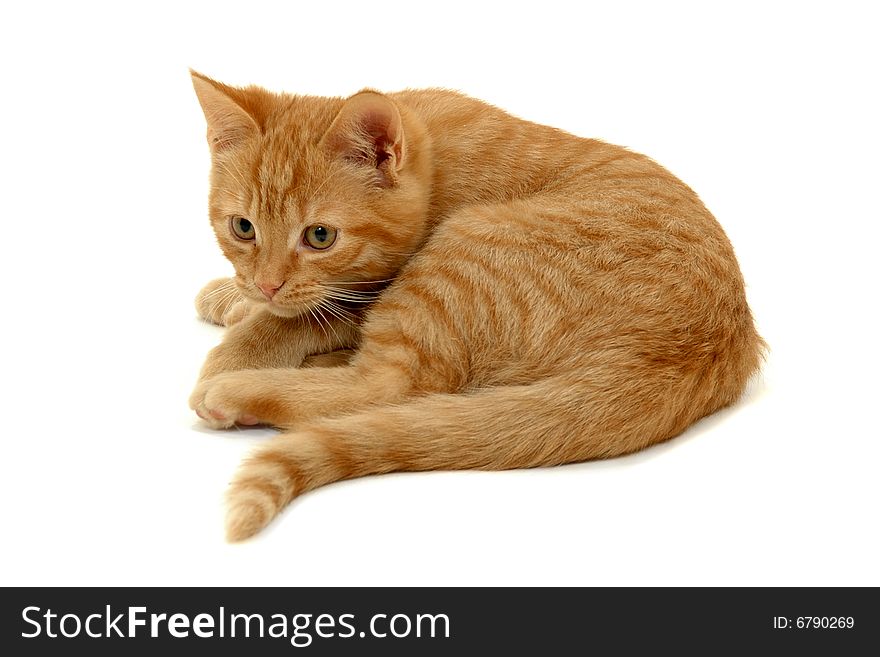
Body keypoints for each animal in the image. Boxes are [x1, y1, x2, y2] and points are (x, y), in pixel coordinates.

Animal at [187, 73, 764, 544]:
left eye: (320, 236)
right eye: (243, 228)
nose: (266, 285)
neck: (433, 152)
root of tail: (686, 355)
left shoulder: (379, 282)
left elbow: (307, 315)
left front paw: (239, 347)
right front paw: (231, 297)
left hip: (462, 245)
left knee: (388, 385)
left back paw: (238, 389)